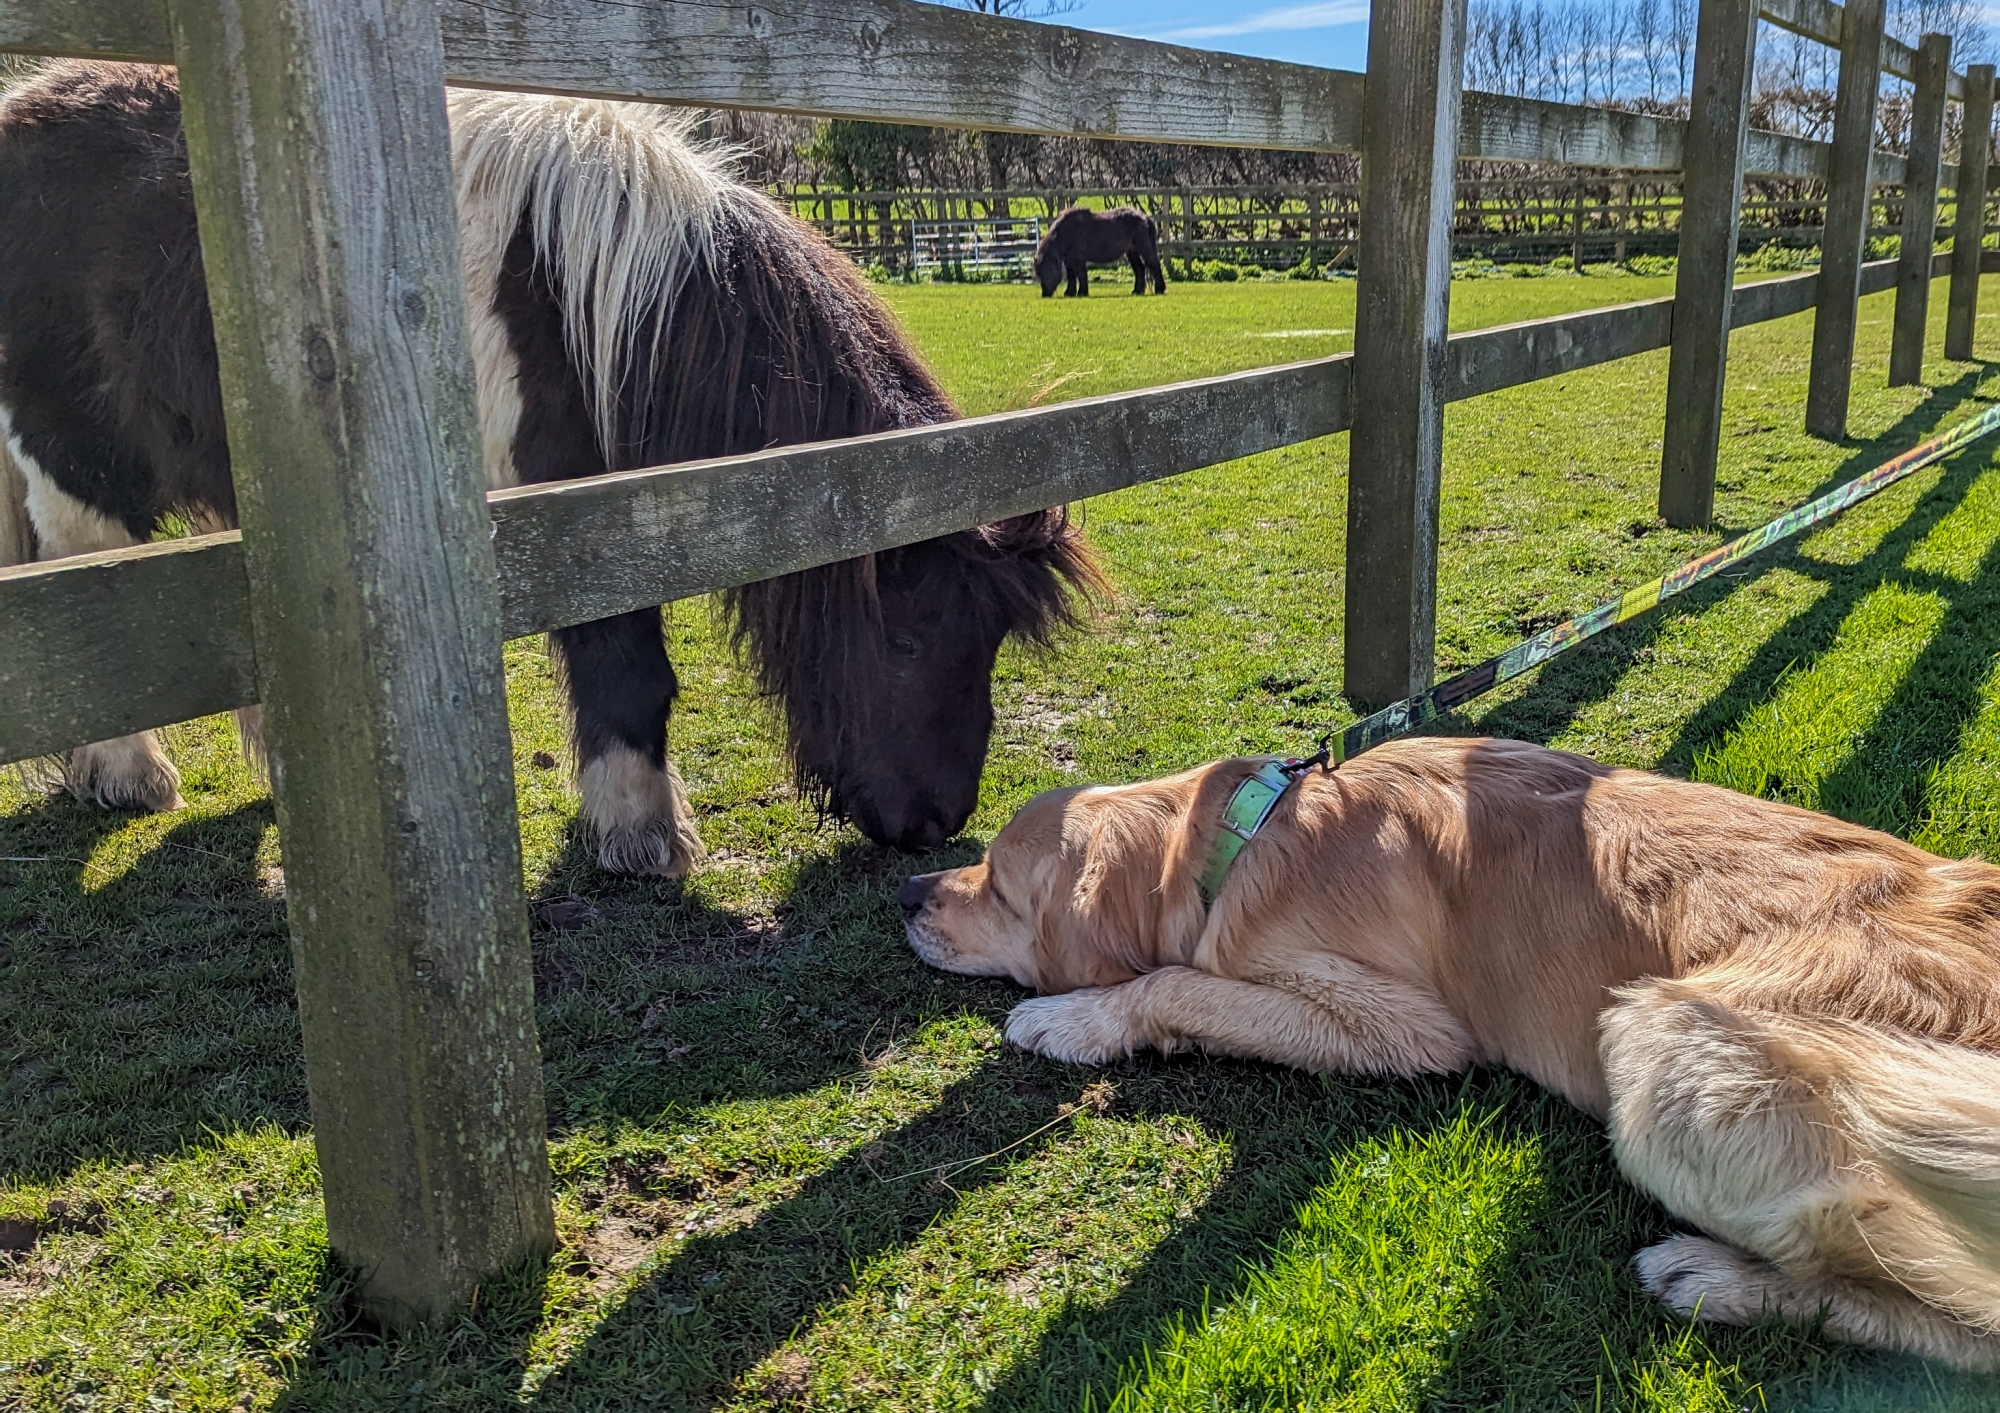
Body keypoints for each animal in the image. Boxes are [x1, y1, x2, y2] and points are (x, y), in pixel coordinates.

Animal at [0, 69, 1104, 880]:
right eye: (908, 640)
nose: (934, 822)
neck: (590, 308)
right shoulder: (580, 522)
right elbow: (626, 670)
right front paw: (639, 836)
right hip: (74, 464)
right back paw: (130, 775)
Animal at [1032, 205, 1168, 296]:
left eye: (1047, 271)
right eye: (1038, 274)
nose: (1045, 294)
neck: (1066, 233)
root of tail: (1145, 218)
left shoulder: (1079, 259)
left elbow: (1081, 274)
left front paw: (1082, 293)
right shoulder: (1069, 260)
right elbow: (1071, 276)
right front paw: (1070, 293)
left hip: (1144, 248)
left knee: (1153, 264)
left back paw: (1159, 290)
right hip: (1132, 252)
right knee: (1139, 269)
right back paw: (1137, 291)